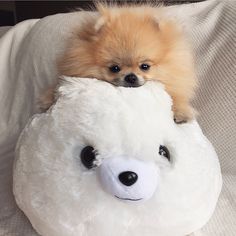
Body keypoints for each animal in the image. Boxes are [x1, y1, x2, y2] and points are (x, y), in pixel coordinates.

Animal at [41, 3, 196, 123]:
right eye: (114, 68)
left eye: (145, 66)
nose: (131, 77)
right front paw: (48, 100)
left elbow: (176, 96)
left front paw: (181, 111)